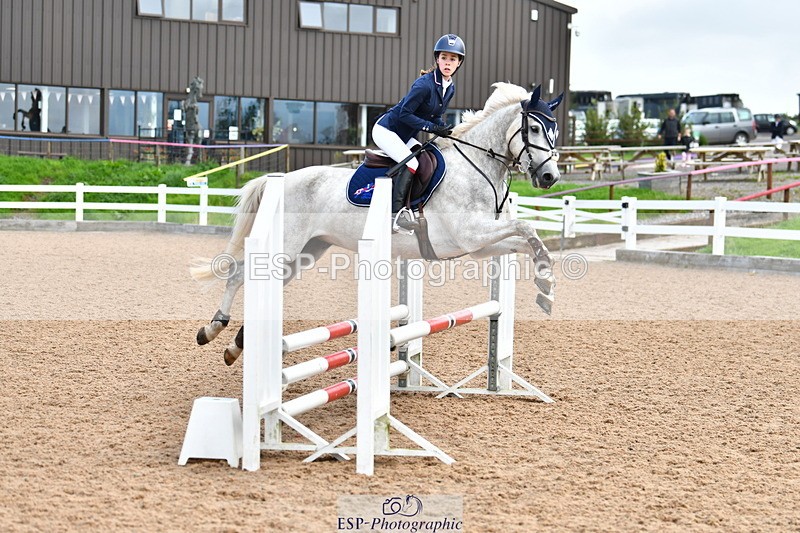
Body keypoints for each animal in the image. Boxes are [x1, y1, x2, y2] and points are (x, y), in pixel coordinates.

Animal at [192, 82, 563, 365]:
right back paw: (212, 329)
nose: (549, 177)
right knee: (238, 275)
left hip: (307, 251)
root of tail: (278, 180)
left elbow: (526, 241)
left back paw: (235, 346)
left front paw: (545, 286)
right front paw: (546, 284)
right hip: (285, 247)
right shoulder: (470, 235)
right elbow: (527, 228)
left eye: (554, 130)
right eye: (533, 128)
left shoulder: (479, 246)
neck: (476, 165)